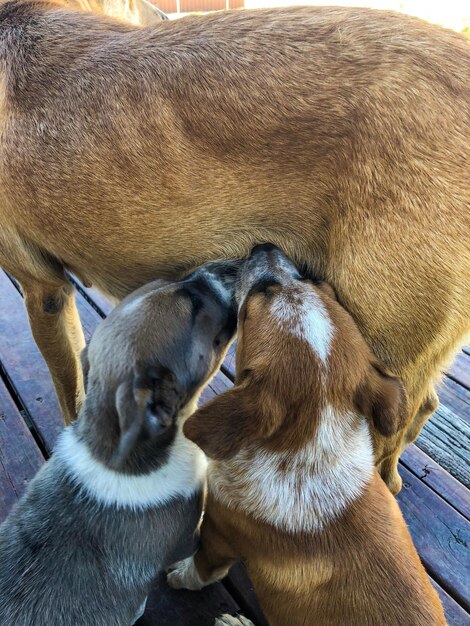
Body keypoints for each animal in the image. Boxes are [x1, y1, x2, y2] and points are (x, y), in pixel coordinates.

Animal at [167, 244, 446, 624]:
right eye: (315, 283)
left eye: (259, 296)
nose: (265, 246)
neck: (311, 452)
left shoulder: (218, 537)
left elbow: (198, 569)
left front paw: (178, 575)